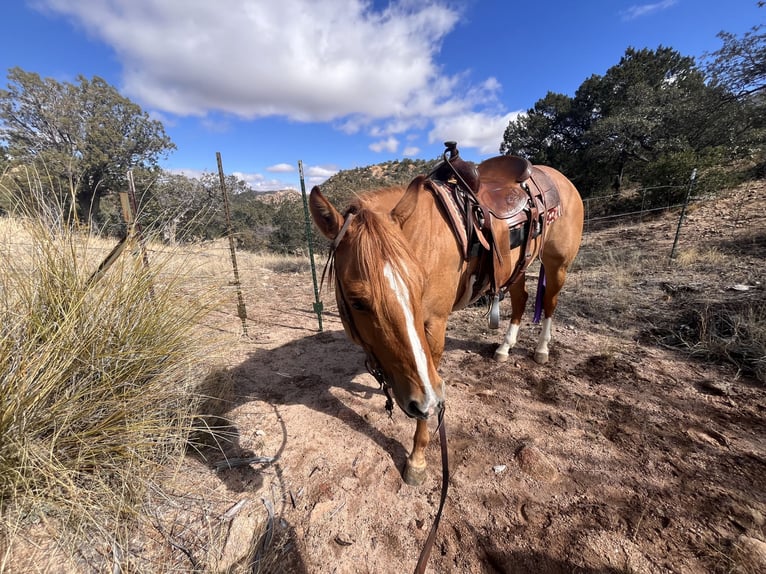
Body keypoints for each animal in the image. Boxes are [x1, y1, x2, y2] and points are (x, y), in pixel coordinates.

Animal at [309, 143, 583, 485]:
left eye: (419, 285)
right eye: (358, 302)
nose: (421, 399)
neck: (420, 235)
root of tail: (561, 179)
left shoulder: (434, 327)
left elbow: (431, 386)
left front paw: (417, 457)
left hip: (558, 264)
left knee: (550, 302)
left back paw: (542, 349)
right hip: (517, 268)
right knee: (521, 301)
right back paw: (505, 348)